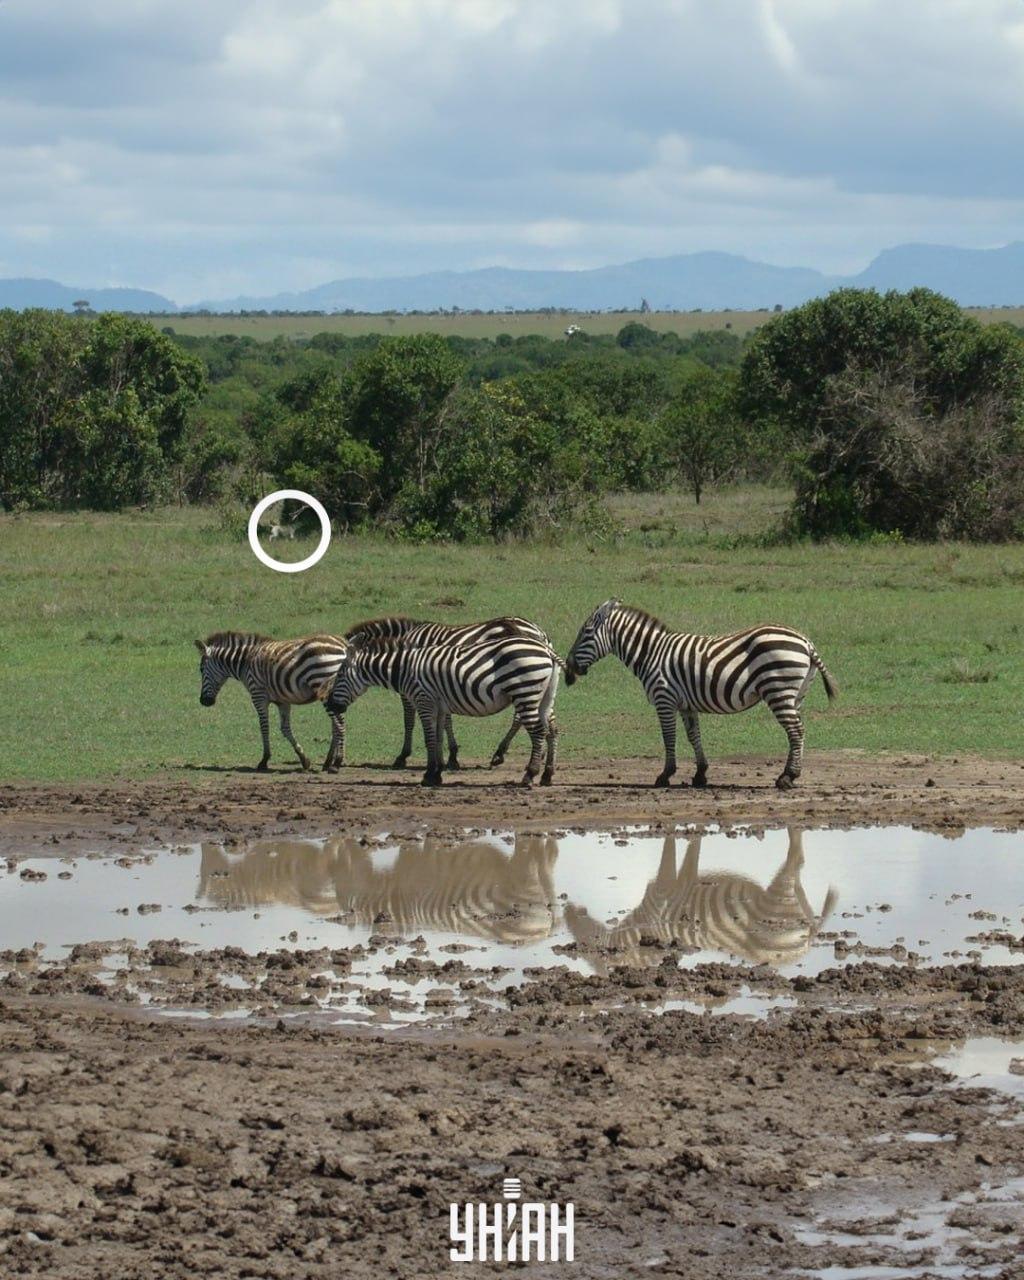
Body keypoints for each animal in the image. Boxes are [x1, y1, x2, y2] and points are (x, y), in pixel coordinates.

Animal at [193, 629, 348, 768]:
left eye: (201, 669)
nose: (204, 701)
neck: (245, 662)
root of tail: (344, 645)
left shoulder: (258, 696)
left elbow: (264, 726)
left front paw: (264, 760)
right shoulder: (283, 701)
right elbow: (285, 729)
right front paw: (304, 759)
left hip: (323, 685)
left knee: (339, 723)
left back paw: (337, 761)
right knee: (336, 724)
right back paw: (328, 762)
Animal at [322, 627, 560, 778]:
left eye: (339, 675)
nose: (330, 705)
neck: (404, 668)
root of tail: (546, 649)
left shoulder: (424, 700)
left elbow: (429, 738)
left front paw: (428, 774)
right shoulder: (439, 705)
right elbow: (438, 738)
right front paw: (437, 772)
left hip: (525, 692)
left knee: (538, 732)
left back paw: (530, 775)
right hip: (543, 697)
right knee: (552, 730)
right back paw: (547, 775)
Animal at [563, 599, 834, 788]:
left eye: (586, 632)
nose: (569, 669)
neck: (651, 653)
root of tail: (806, 642)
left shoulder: (664, 698)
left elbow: (669, 737)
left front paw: (665, 775)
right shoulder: (686, 704)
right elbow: (693, 736)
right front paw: (700, 774)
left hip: (778, 690)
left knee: (796, 731)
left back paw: (788, 777)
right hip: (795, 695)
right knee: (796, 731)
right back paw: (789, 774)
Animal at [563, 829, 834, 967]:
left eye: (578, 934)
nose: (568, 910)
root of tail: (808, 939)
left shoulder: (662, 888)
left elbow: (673, 854)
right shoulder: (680, 880)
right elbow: (692, 854)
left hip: (779, 901)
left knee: (795, 861)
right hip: (796, 900)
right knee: (799, 871)